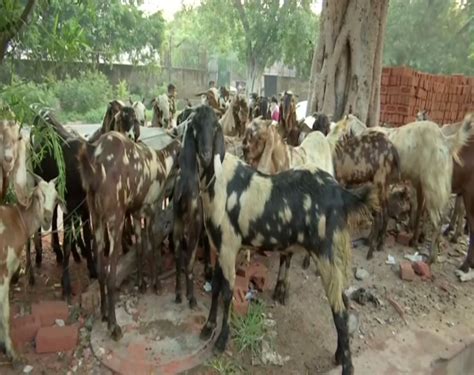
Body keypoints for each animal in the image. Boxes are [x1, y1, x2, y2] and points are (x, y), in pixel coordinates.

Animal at [0, 178, 58, 362]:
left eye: (56, 198)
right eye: (38, 196)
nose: (47, 218)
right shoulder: (3, 272)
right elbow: (4, 313)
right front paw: (11, 352)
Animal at [78, 131, 181, 340]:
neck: (161, 161)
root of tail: (95, 160)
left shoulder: (135, 213)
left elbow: (140, 247)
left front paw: (141, 284)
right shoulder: (152, 208)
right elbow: (153, 246)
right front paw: (156, 285)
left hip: (96, 219)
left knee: (101, 270)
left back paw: (104, 314)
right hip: (115, 219)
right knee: (111, 275)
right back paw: (114, 326)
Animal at [183, 106, 380, 375]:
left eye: (215, 128)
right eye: (194, 126)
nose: (204, 154)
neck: (219, 180)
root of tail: (342, 194)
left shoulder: (230, 246)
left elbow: (227, 293)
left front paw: (222, 341)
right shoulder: (218, 246)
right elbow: (215, 288)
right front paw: (208, 328)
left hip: (326, 255)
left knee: (339, 312)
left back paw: (347, 367)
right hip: (337, 256)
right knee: (345, 302)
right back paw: (339, 355)